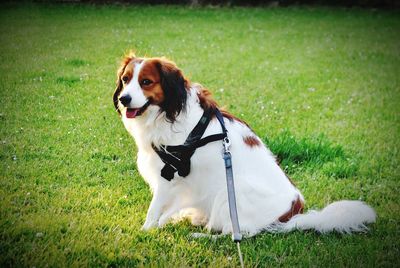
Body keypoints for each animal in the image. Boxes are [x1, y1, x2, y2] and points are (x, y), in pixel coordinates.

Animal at [112, 52, 376, 237]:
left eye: (146, 82)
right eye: (125, 80)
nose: (124, 99)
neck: (167, 112)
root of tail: (291, 214)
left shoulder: (169, 175)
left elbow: (155, 208)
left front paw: (146, 231)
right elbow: (167, 208)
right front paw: (165, 222)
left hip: (231, 191)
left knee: (239, 233)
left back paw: (203, 234)